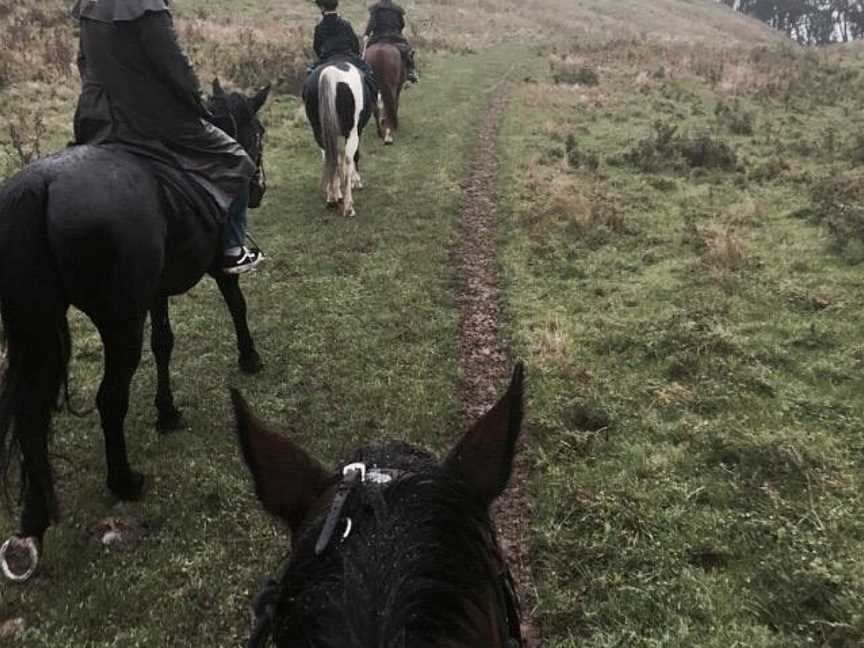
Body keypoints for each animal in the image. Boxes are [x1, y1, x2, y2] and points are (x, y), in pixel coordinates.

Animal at [0, 79, 270, 576]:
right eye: (257, 131)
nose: (258, 188)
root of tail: (38, 186)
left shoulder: (155, 291)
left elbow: (164, 342)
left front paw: (167, 412)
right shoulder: (214, 268)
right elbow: (237, 304)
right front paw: (249, 356)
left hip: (40, 327)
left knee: (30, 415)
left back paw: (33, 523)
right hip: (120, 321)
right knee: (109, 398)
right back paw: (124, 480)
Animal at [304, 60, 372, 218]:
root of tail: (330, 73)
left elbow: (336, 158)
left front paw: (336, 192)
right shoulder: (357, 131)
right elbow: (353, 157)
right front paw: (355, 181)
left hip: (319, 132)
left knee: (328, 157)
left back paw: (332, 198)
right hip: (352, 133)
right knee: (347, 160)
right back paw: (348, 207)